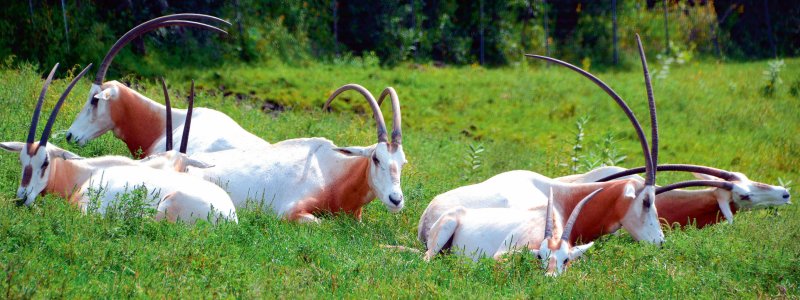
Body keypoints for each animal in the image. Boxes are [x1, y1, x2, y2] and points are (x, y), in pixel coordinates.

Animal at [1, 63, 236, 224]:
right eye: (22, 161)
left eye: (45, 163)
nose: (21, 199)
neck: (85, 173)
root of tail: (230, 218)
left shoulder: (86, 208)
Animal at [173, 84, 406, 223]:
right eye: (376, 158)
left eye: (403, 162)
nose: (396, 200)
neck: (330, 173)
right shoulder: (289, 212)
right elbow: (323, 223)